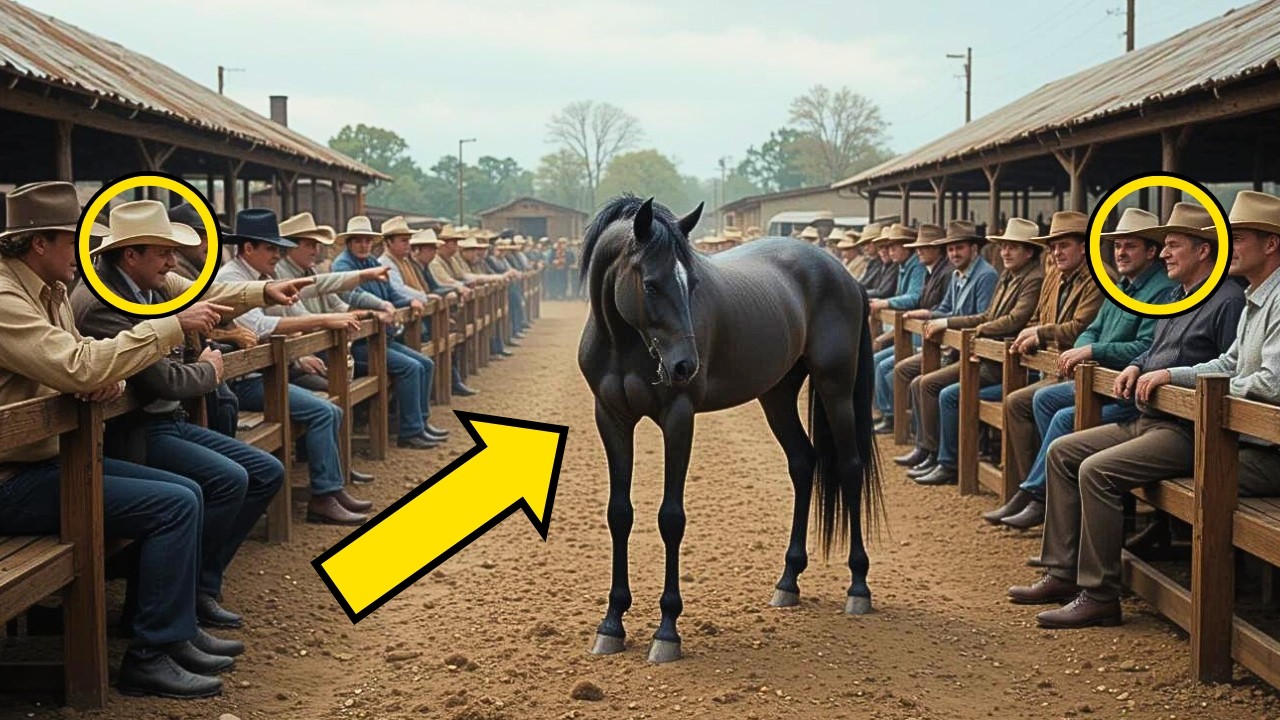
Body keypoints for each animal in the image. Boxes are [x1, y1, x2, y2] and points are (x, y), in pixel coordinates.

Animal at [577, 195, 883, 663]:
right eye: (651, 284)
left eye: (693, 283)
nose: (685, 366)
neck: (624, 344)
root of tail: (842, 273)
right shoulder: (610, 418)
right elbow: (619, 514)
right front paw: (611, 623)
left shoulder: (679, 418)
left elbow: (670, 517)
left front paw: (667, 631)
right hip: (777, 394)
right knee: (803, 463)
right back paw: (788, 582)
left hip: (836, 386)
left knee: (849, 469)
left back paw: (858, 588)